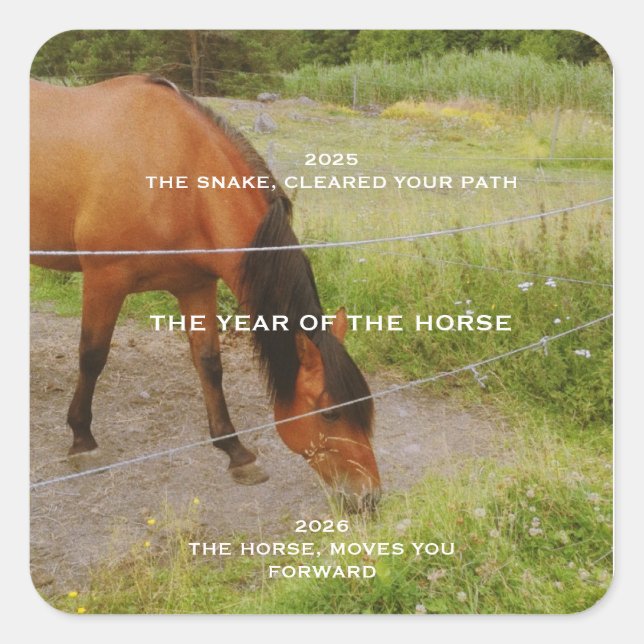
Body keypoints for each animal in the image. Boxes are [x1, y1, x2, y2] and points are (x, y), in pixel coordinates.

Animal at [30, 75, 381, 511]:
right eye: (331, 413)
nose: (369, 496)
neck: (176, 170)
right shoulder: (104, 279)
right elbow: (92, 356)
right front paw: (82, 441)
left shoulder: (195, 285)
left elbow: (210, 364)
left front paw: (237, 453)